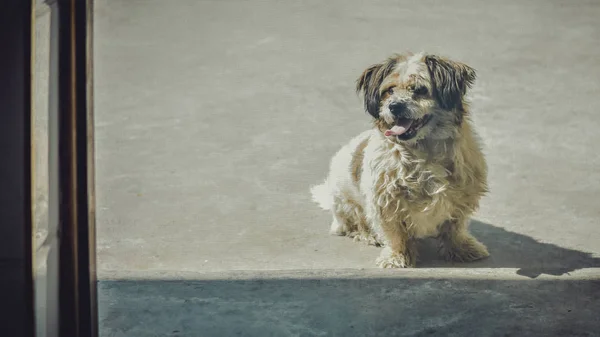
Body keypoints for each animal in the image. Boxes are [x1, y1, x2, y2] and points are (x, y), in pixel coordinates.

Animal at [312, 51, 490, 268]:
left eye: (420, 90)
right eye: (389, 91)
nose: (395, 106)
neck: (424, 150)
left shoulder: (463, 197)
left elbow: (455, 227)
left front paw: (461, 248)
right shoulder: (385, 202)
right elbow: (395, 234)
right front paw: (396, 257)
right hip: (345, 202)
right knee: (355, 223)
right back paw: (368, 234)